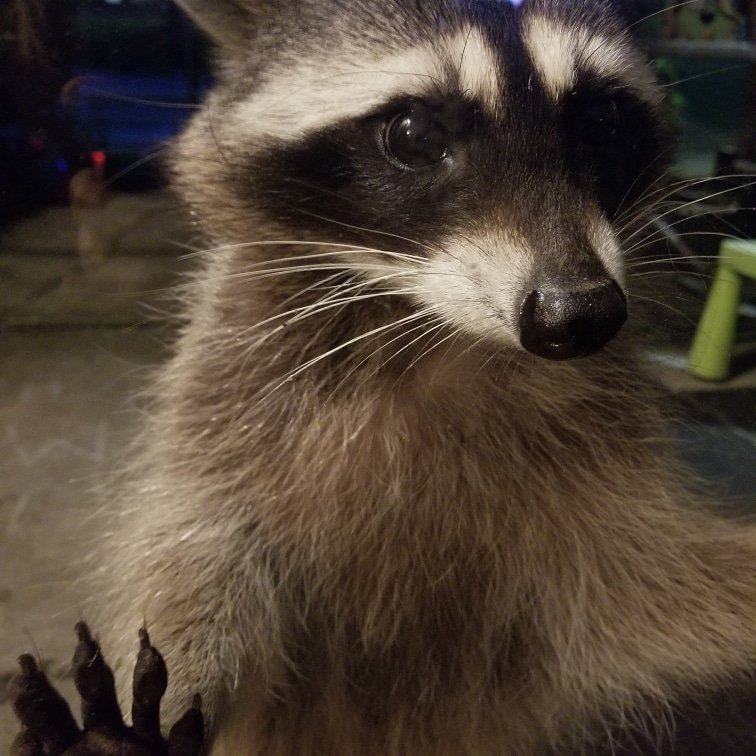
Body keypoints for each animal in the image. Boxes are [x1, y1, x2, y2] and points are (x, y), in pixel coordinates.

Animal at [88, 0, 755, 753]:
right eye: (411, 134)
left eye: (600, 117)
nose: (579, 313)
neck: (437, 329)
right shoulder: (229, 379)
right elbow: (195, 538)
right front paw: (179, 685)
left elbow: (642, 593)